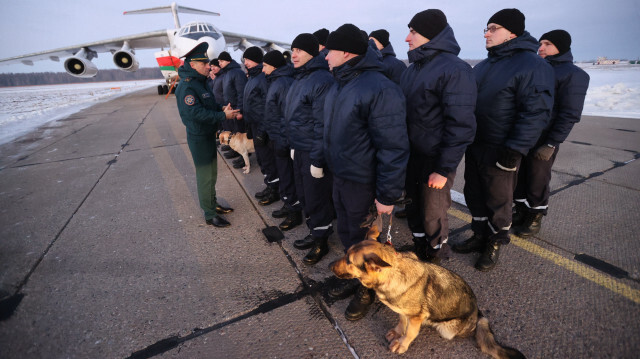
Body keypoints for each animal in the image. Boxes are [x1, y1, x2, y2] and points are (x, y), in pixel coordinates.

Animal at [330, 240, 524, 358]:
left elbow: (410, 332)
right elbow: (402, 321)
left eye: (349, 261)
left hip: (448, 329)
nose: (329, 265)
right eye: (345, 254)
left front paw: (402, 344)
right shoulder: (404, 311)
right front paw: (398, 332)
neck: (393, 273)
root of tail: (478, 313)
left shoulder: (416, 317)